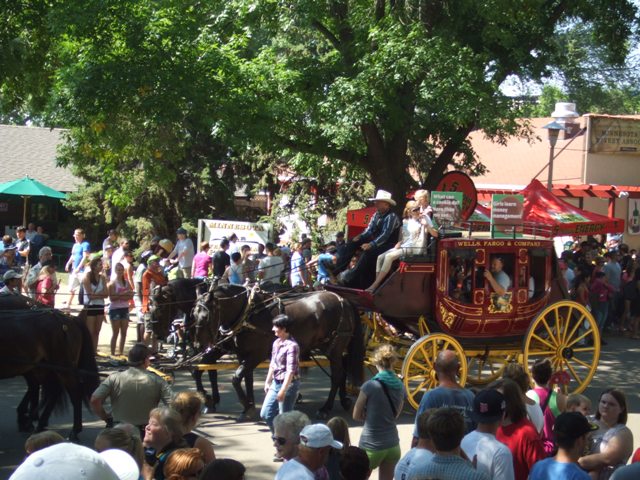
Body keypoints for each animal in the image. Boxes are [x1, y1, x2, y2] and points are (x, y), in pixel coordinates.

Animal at [0, 294, 99, 440]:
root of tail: (69, 319)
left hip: (62, 367)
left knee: (74, 392)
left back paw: (73, 430)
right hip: (44, 368)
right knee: (51, 390)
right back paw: (37, 423)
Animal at [189, 284, 364, 420]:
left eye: (205, 316)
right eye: (193, 315)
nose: (197, 345)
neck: (249, 313)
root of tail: (343, 299)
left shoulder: (255, 355)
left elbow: (236, 378)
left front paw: (246, 405)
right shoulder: (242, 354)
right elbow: (246, 379)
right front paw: (248, 405)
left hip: (334, 348)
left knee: (337, 375)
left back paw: (326, 408)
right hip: (334, 348)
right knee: (342, 370)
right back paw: (343, 400)